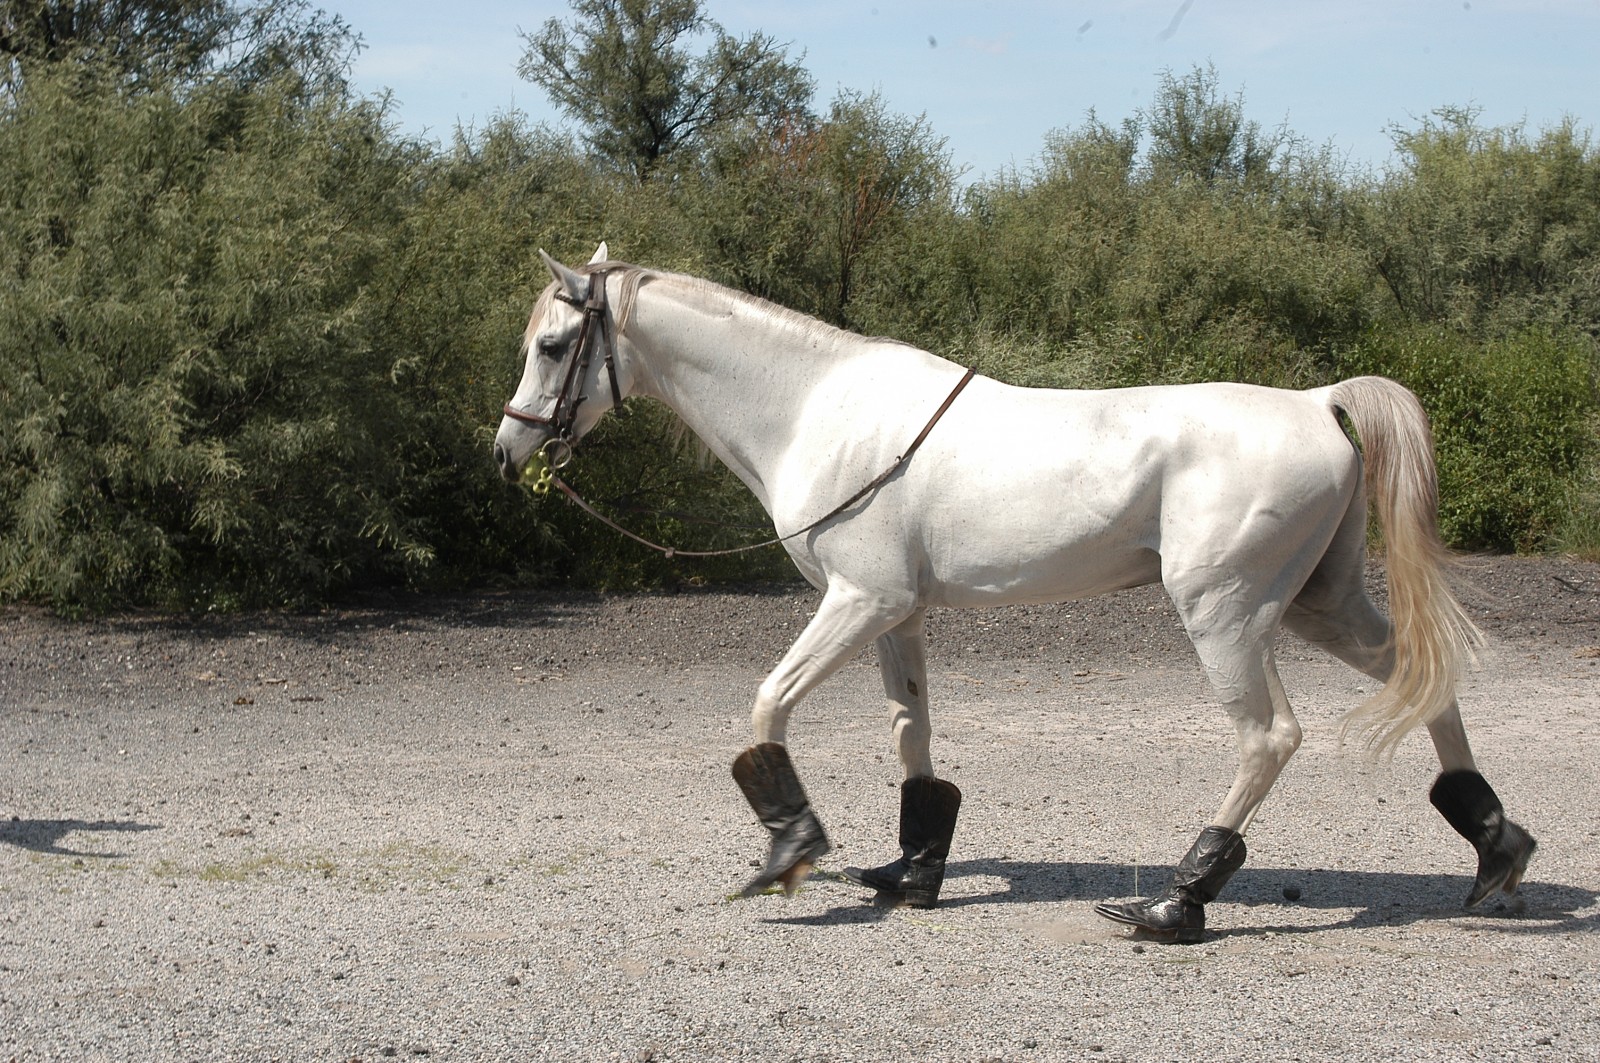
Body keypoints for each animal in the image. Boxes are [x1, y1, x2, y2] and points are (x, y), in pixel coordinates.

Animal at [489, 246, 1536, 941]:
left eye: (554, 344)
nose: (507, 452)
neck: (814, 408)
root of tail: (1318, 400)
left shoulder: (858, 601)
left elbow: (768, 705)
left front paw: (788, 855)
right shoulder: (898, 614)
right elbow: (912, 738)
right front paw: (910, 874)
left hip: (1226, 615)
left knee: (1268, 737)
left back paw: (1175, 902)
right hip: (1320, 603)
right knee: (1421, 676)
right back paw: (1496, 854)